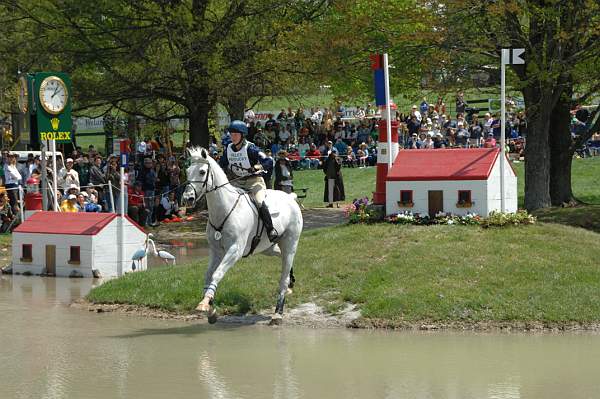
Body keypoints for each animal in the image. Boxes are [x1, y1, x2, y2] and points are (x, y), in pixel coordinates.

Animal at [182, 147, 304, 324]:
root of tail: (290, 197)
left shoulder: (235, 250)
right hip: (268, 248)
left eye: (202, 171)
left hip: (290, 242)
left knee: (284, 274)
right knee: (282, 258)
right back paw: (290, 284)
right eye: (187, 171)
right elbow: (209, 275)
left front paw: (205, 304)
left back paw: (278, 312)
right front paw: (210, 308)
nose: (187, 198)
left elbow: (217, 274)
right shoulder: (216, 251)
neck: (225, 210)